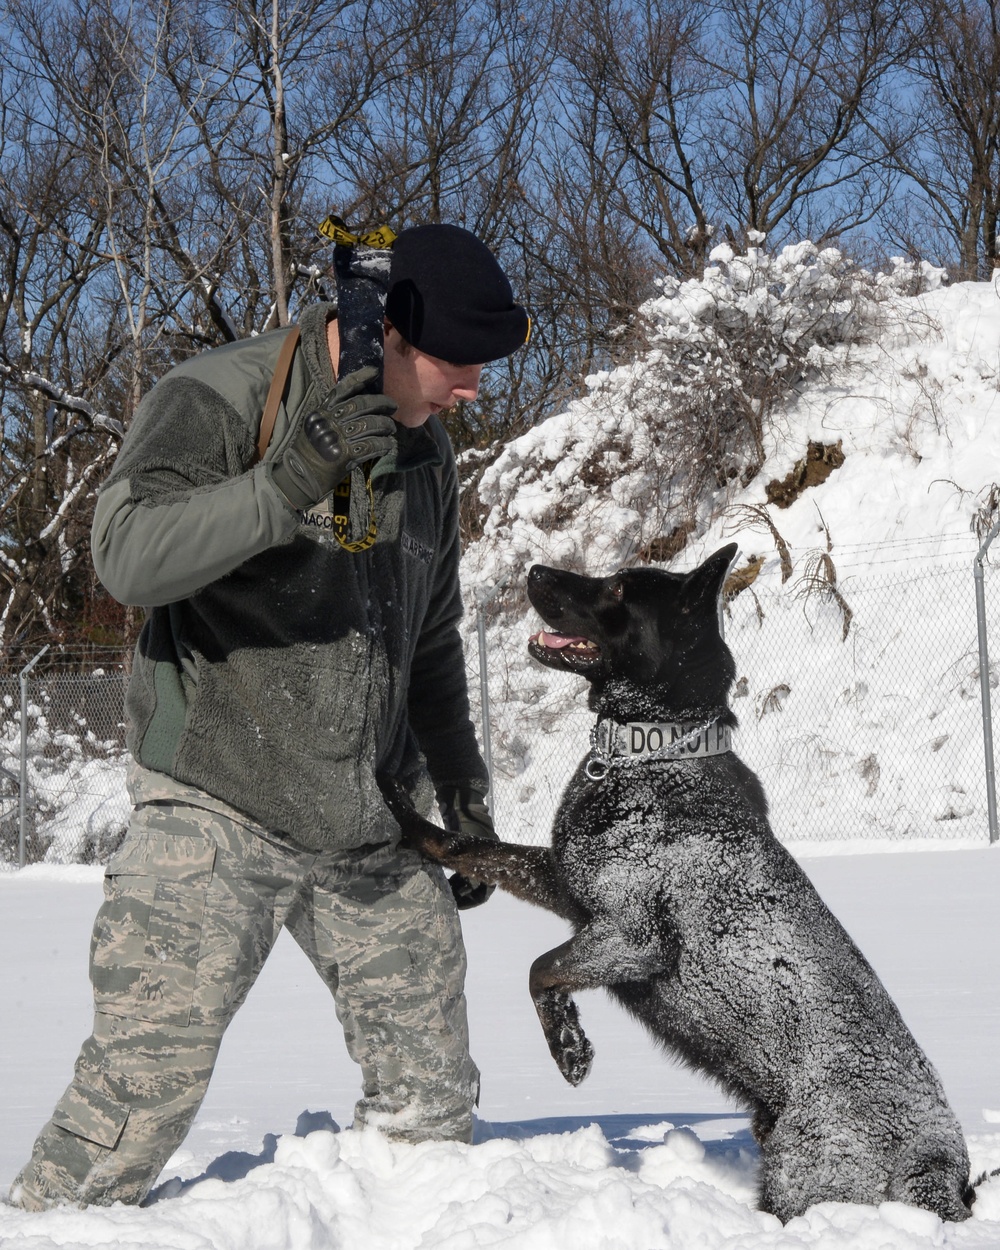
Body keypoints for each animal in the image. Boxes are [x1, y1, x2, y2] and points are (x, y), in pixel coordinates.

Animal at [380, 545, 970, 1220]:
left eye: (615, 588)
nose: (534, 570)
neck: (654, 754)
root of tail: (940, 1164)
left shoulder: (633, 938)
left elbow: (539, 969)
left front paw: (570, 1049)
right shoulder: (566, 885)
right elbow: (476, 849)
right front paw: (404, 814)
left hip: (804, 1170)